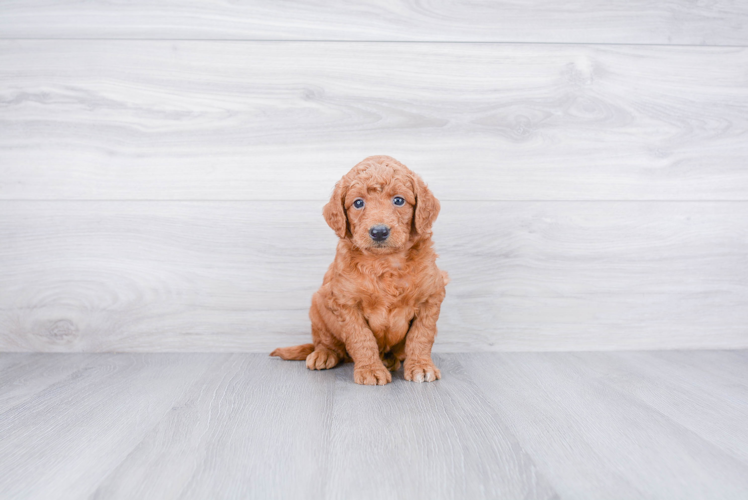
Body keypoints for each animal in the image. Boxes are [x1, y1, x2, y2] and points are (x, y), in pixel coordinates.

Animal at [272, 154, 448, 384]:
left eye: (399, 200)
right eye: (358, 203)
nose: (379, 231)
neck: (385, 262)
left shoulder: (431, 296)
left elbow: (421, 335)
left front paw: (421, 366)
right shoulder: (346, 302)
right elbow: (361, 338)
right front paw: (370, 370)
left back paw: (390, 360)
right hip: (317, 307)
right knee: (326, 342)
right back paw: (324, 354)